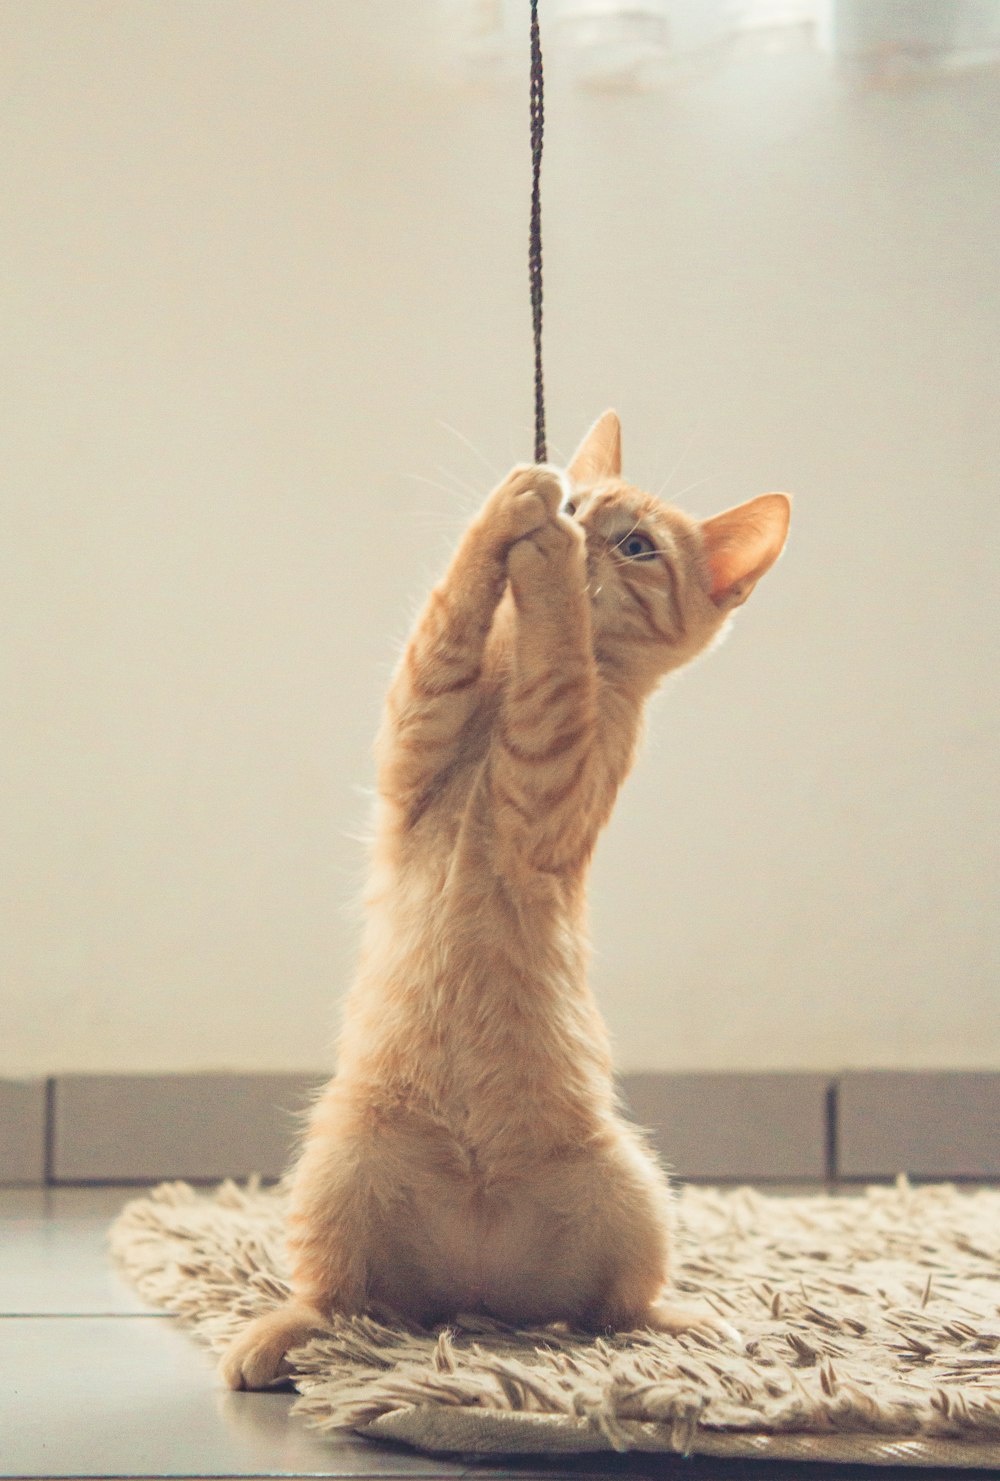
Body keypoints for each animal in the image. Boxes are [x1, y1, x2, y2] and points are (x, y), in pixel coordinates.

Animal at [220, 408, 788, 1386]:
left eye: (637, 545)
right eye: (588, 497)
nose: (577, 515)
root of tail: (476, 1293)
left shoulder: (549, 783)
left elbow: (554, 669)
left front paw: (550, 566)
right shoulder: (416, 727)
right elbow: (448, 616)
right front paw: (514, 510)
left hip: (633, 1190)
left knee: (614, 1308)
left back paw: (683, 1324)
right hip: (337, 1170)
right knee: (341, 1298)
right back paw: (281, 1335)